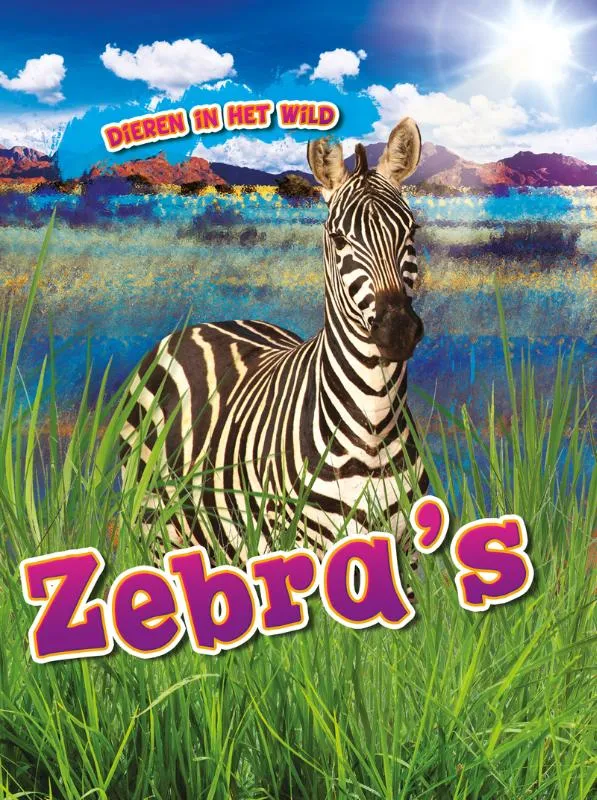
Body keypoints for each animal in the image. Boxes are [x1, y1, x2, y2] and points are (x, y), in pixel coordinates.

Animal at [120, 117, 429, 568]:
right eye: (339, 239)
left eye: (412, 230)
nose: (398, 330)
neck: (374, 422)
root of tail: (200, 326)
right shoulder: (304, 543)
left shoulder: (409, 550)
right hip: (153, 524)